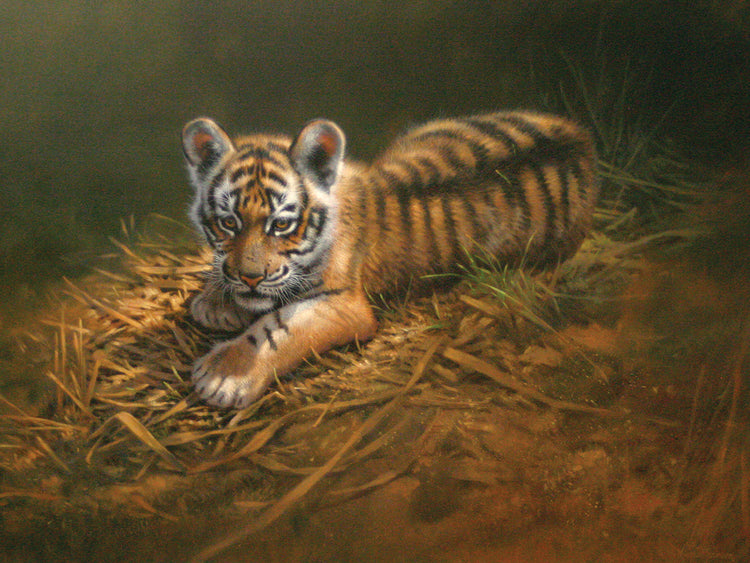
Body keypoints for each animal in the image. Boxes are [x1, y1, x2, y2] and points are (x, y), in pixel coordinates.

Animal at [181, 111, 598, 408]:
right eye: (228, 222)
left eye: (281, 225)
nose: (249, 277)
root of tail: (580, 135)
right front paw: (215, 302)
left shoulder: (344, 305)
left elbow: (278, 328)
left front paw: (224, 376)